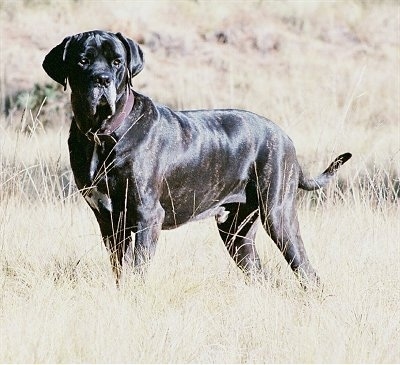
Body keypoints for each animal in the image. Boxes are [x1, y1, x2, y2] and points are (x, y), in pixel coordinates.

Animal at [42, 31, 352, 286]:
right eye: (83, 61)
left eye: (117, 61)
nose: (102, 79)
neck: (102, 134)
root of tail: (284, 136)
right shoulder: (109, 222)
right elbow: (120, 268)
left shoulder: (146, 216)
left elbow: (137, 270)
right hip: (236, 233)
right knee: (259, 274)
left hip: (278, 216)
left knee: (307, 272)